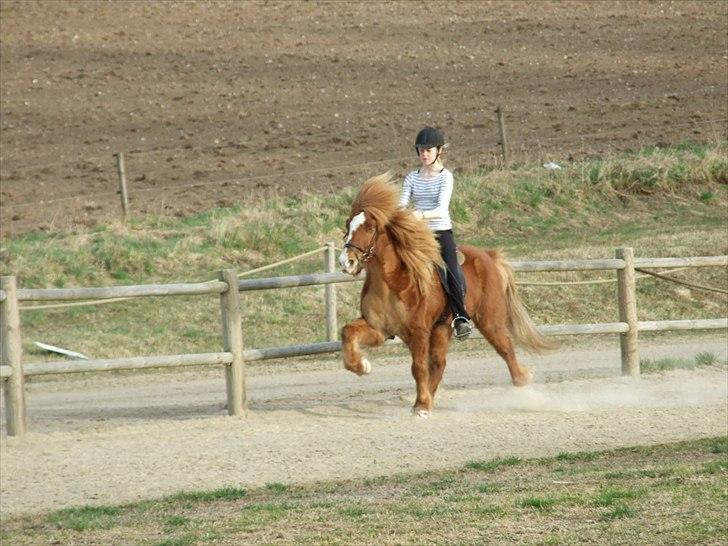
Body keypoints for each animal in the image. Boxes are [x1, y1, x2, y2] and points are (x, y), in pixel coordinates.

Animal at [340, 174, 552, 416]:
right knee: (440, 363)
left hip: (489, 321)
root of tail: (489, 256)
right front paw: (362, 366)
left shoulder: (418, 331)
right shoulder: (380, 329)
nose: (346, 262)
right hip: (443, 327)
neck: (389, 284)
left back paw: (522, 379)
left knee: (505, 349)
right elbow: (347, 332)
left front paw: (422, 405)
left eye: (370, 227)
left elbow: (418, 367)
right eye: (348, 224)